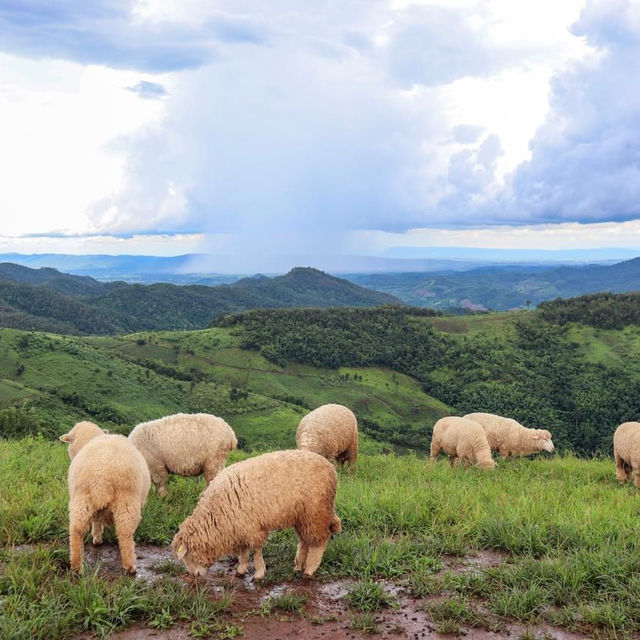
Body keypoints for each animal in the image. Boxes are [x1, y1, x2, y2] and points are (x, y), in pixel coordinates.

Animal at [58, 422, 151, 572]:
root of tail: (100, 475)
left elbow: (96, 521)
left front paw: (96, 539)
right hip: (126, 501)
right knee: (125, 533)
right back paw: (130, 566)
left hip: (82, 498)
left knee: (76, 530)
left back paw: (77, 566)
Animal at [169, 450, 340, 580]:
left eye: (187, 556)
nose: (195, 575)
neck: (216, 515)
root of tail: (330, 467)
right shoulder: (240, 526)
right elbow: (243, 550)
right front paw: (241, 569)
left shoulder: (253, 527)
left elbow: (256, 551)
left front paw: (259, 572)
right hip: (303, 516)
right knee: (304, 540)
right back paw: (298, 565)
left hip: (316, 512)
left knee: (319, 541)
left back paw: (310, 569)